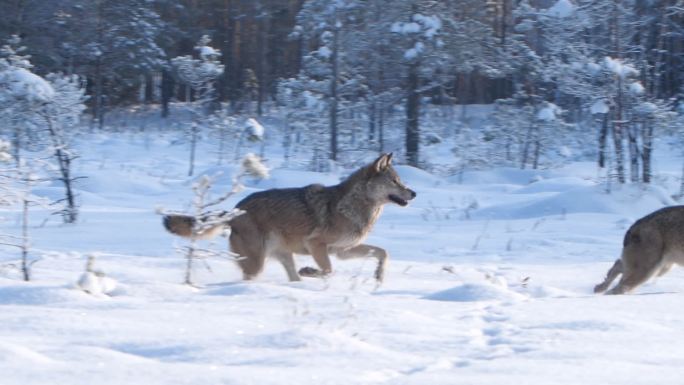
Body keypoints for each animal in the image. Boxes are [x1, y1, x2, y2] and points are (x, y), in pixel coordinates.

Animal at [163, 153, 414, 282]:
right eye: (395, 181)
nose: (414, 193)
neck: (354, 206)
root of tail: (236, 209)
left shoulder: (343, 251)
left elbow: (383, 252)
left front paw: (379, 276)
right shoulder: (316, 245)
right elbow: (328, 270)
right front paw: (311, 272)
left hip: (281, 257)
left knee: (292, 278)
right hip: (257, 263)